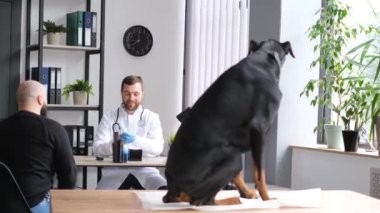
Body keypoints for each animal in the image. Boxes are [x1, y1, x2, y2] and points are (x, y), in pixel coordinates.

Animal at [163, 39, 294, 206]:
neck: (265, 57)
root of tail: (172, 187)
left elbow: (240, 176)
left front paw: (247, 192)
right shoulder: (259, 128)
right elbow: (260, 173)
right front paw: (268, 199)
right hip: (233, 159)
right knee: (202, 202)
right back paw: (232, 201)